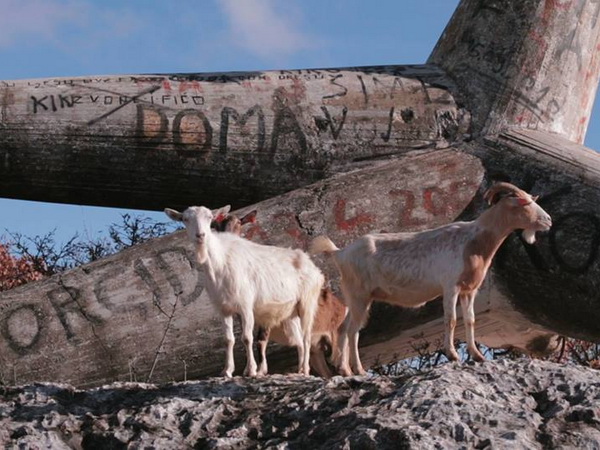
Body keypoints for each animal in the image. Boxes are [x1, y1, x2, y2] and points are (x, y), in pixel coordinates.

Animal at [164, 206, 324, 378]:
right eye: (185, 219)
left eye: (209, 217)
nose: (200, 235)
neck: (220, 262)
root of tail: (313, 267)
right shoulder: (223, 309)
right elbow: (228, 339)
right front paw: (227, 371)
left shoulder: (245, 305)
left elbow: (247, 338)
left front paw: (251, 370)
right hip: (290, 312)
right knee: (299, 339)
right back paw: (299, 370)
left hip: (308, 302)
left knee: (307, 338)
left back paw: (305, 369)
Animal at [312, 183, 552, 376]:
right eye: (523, 202)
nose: (548, 220)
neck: (473, 241)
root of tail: (340, 253)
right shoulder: (451, 287)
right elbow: (451, 319)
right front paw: (453, 354)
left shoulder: (469, 290)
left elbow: (470, 320)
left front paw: (477, 355)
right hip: (360, 296)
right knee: (353, 331)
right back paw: (359, 370)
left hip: (354, 298)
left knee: (343, 329)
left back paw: (345, 370)